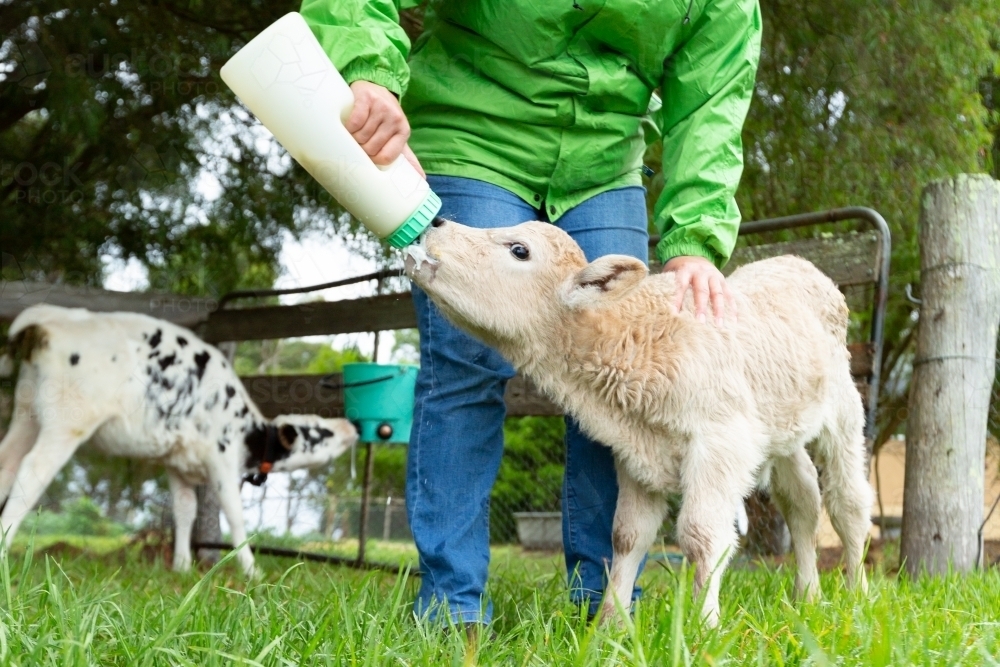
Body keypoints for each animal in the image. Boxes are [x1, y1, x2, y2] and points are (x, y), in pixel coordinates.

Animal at [0, 306, 360, 576]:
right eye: (319, 432)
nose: (350, 426)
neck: (245, 431)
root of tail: (49, 317)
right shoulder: (222, 461)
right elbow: (235, 516)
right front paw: (251, 570)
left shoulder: (178, 463)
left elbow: (185, 510)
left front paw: (183, 566)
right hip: (68, 421)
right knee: (31, 473)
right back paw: (4, 549)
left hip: (26, 414)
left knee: (7, 464)